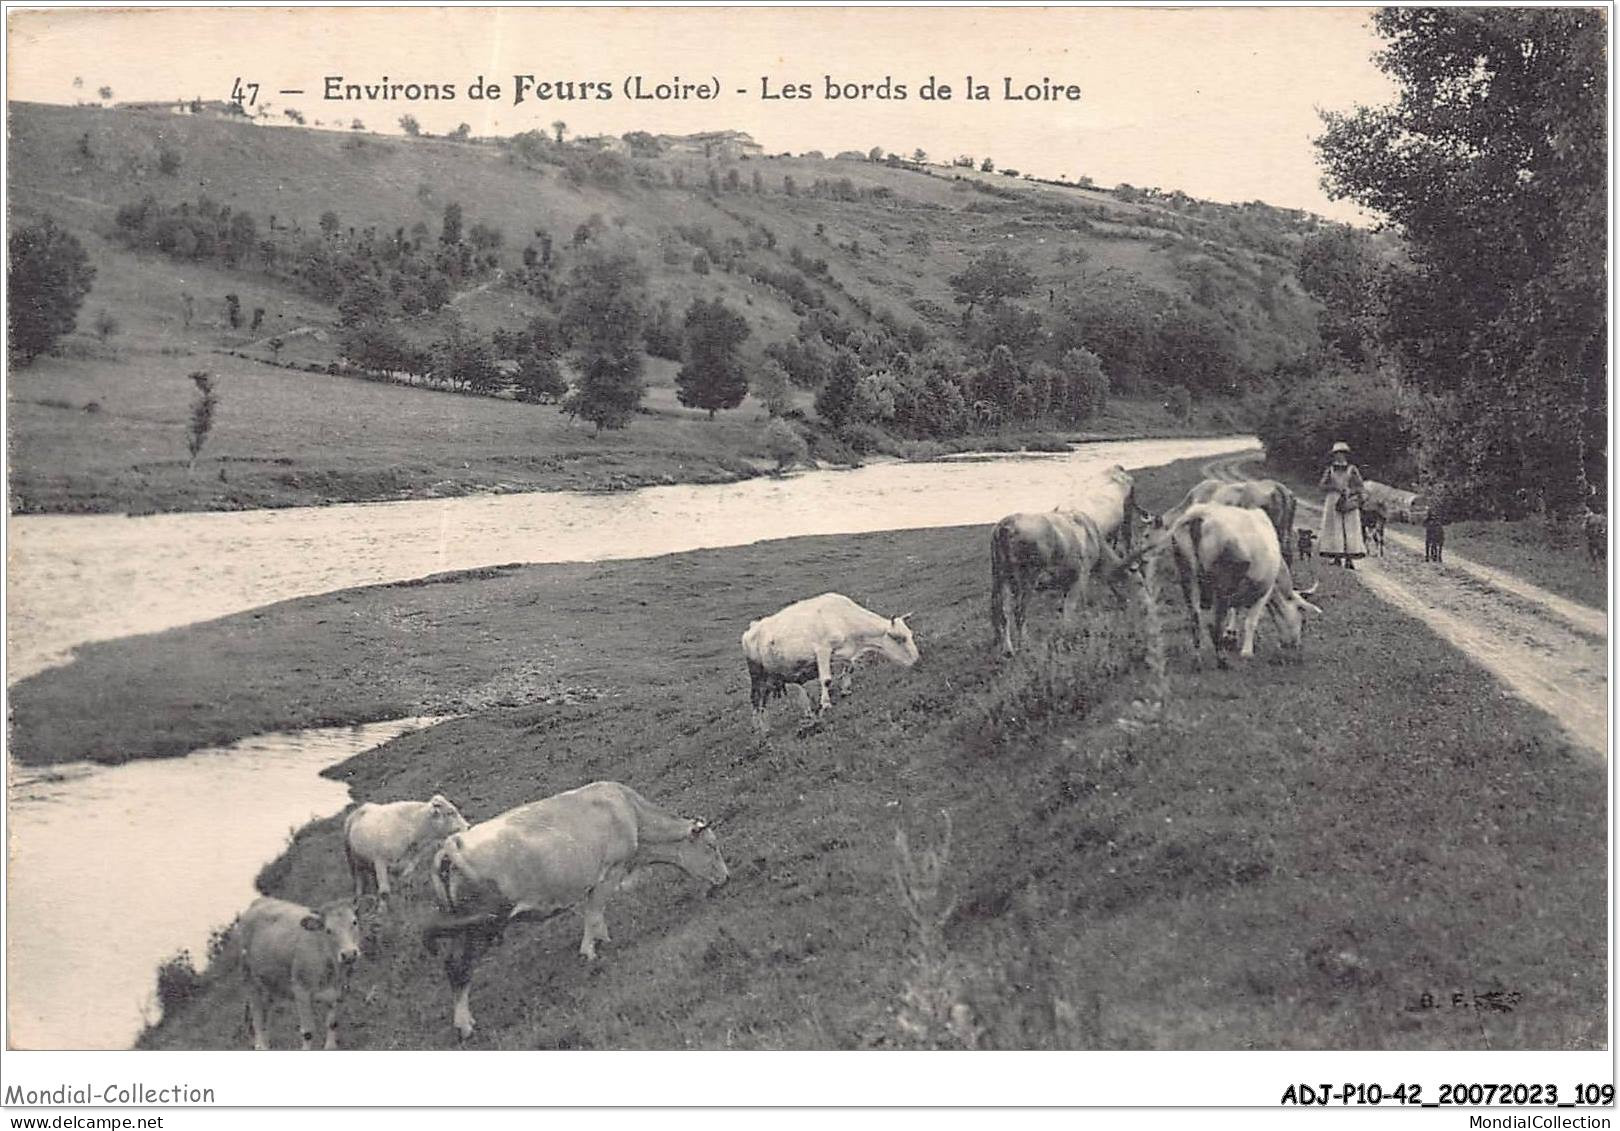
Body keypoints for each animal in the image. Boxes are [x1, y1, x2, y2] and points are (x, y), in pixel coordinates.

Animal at [236, 894, 364, 1043]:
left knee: (265, 1020)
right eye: (328, 930)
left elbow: (332, 1024)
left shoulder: (336, 992)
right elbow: (308, 1032)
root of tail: (258, 901)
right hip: (250, 981)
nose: (349, 954)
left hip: (271, 986)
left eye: (354, 922)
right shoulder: (301, 991)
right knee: (257, 1021)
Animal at [341, 793, 469, 900]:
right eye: (450, 812)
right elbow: (384, 892)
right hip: (353, 860)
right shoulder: (380, 861)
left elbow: (405, 884)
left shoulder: (409, 863)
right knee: (359, 880)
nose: (467, 826)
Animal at [424, 781, 729, 1037]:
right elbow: (593, 914)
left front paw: (602, 939)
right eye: (712, 846)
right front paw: (590, 951)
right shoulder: (609, 872)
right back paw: (464, 1025)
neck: (628, 811)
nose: (726, 878)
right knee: (460, 969)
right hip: (481, 927)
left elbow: (596, 914)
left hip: (463, 928)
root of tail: (450, 847)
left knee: (451, 965)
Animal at [741, 586, 920, 735]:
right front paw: (826, 704)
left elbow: (849, 668)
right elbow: (826, 679)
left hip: (774, 676)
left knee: (766, 700)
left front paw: (846, 690)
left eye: (909, 634)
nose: (916, 660)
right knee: (756, 699)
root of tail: (751, 629)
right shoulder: (823, 650)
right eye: (900, 638)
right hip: (757, 674)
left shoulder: (845, 652)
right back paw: (760, 728)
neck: (842, 618)